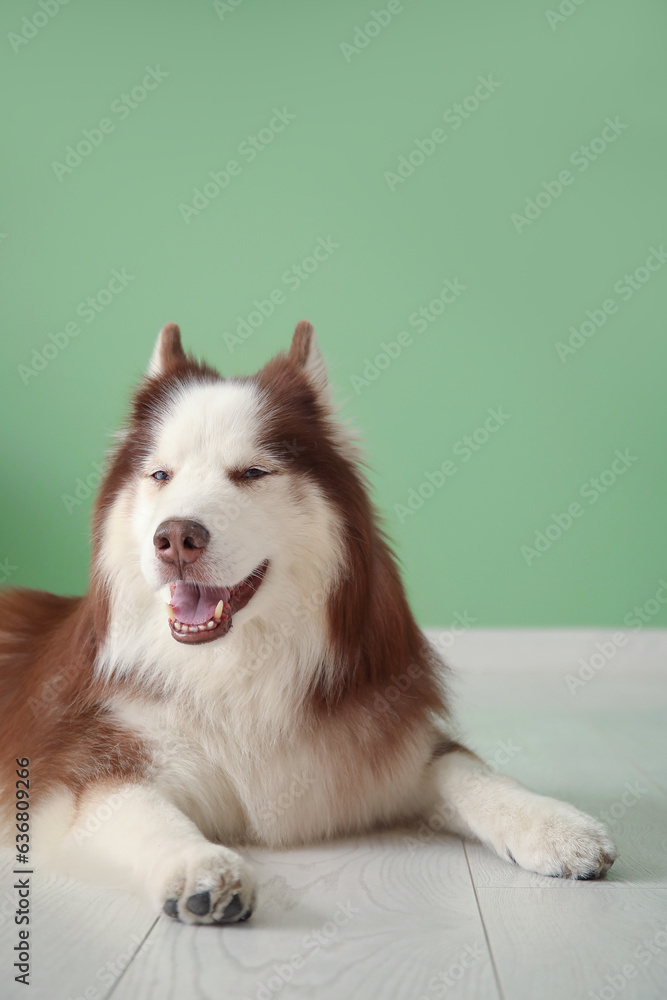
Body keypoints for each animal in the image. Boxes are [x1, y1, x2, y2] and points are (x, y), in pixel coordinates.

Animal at [0, 324, 616, 924]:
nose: (174, 537)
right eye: (160, 475)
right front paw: (199, 864)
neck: (236, 669)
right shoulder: (80, 771)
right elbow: (148, 813)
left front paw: (557, 826)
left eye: (252, 472)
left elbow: (472, 771)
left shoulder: (386, 736)